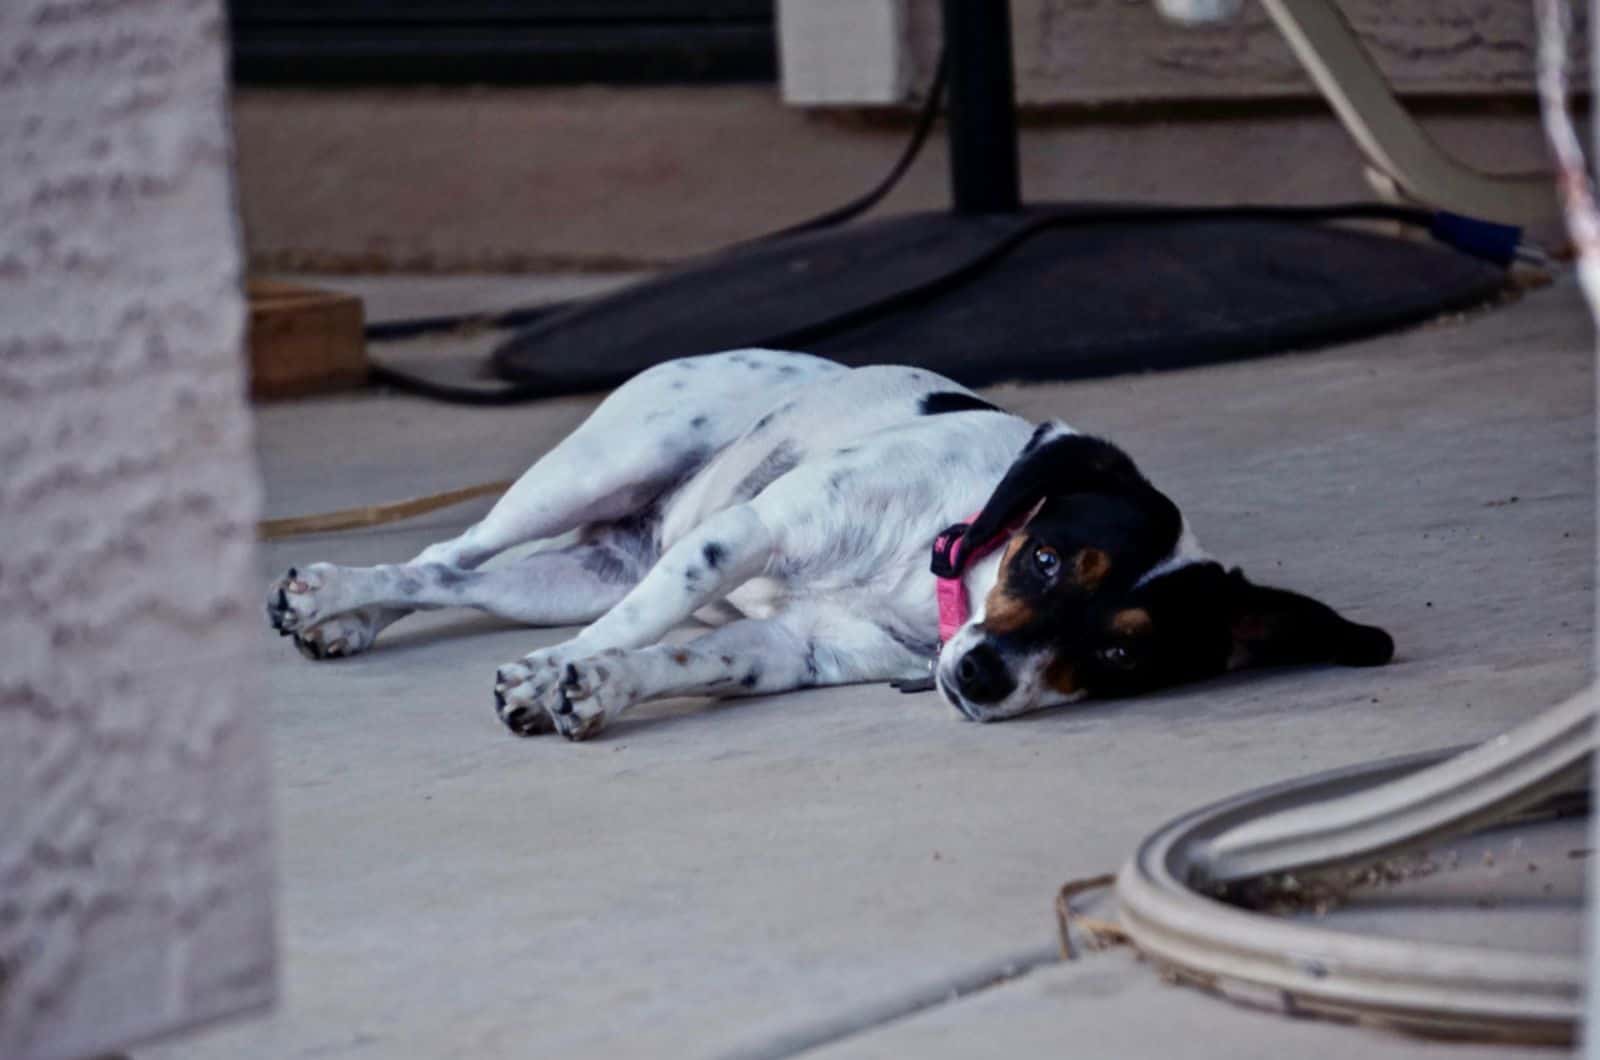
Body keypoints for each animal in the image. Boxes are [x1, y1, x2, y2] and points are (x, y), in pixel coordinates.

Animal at [268, 352, 1395, 742]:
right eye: (1040, 562)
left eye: (1120, 653)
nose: (983, 677)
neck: (931, 574)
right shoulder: (744, 533)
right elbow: (643, 622)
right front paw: (552, 676)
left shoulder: (790, 650)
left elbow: (677, 652)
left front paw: (598, 684)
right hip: (594, 467)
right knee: (448, 552)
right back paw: (335, 596)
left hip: (576, 566)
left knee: (453, 576)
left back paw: (346, 616)